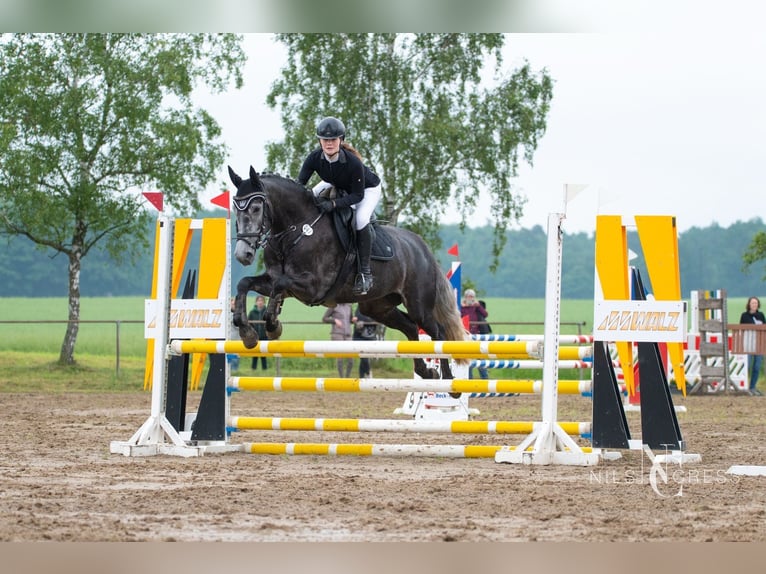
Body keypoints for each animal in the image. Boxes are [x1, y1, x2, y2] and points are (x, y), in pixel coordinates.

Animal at [228, 165, 468, 382]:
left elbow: (279, 286)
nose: (242, 254)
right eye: (236, 209)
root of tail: (423, 248)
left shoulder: (313, 287)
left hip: (419, 306)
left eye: (256, 208)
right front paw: (248, 333)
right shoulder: (278, 281)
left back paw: (448, 380)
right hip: (377, 307)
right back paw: (425, 372)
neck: (297, 229)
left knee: (437, 332)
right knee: (410, 327)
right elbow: (244, 283)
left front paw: (272, 326)